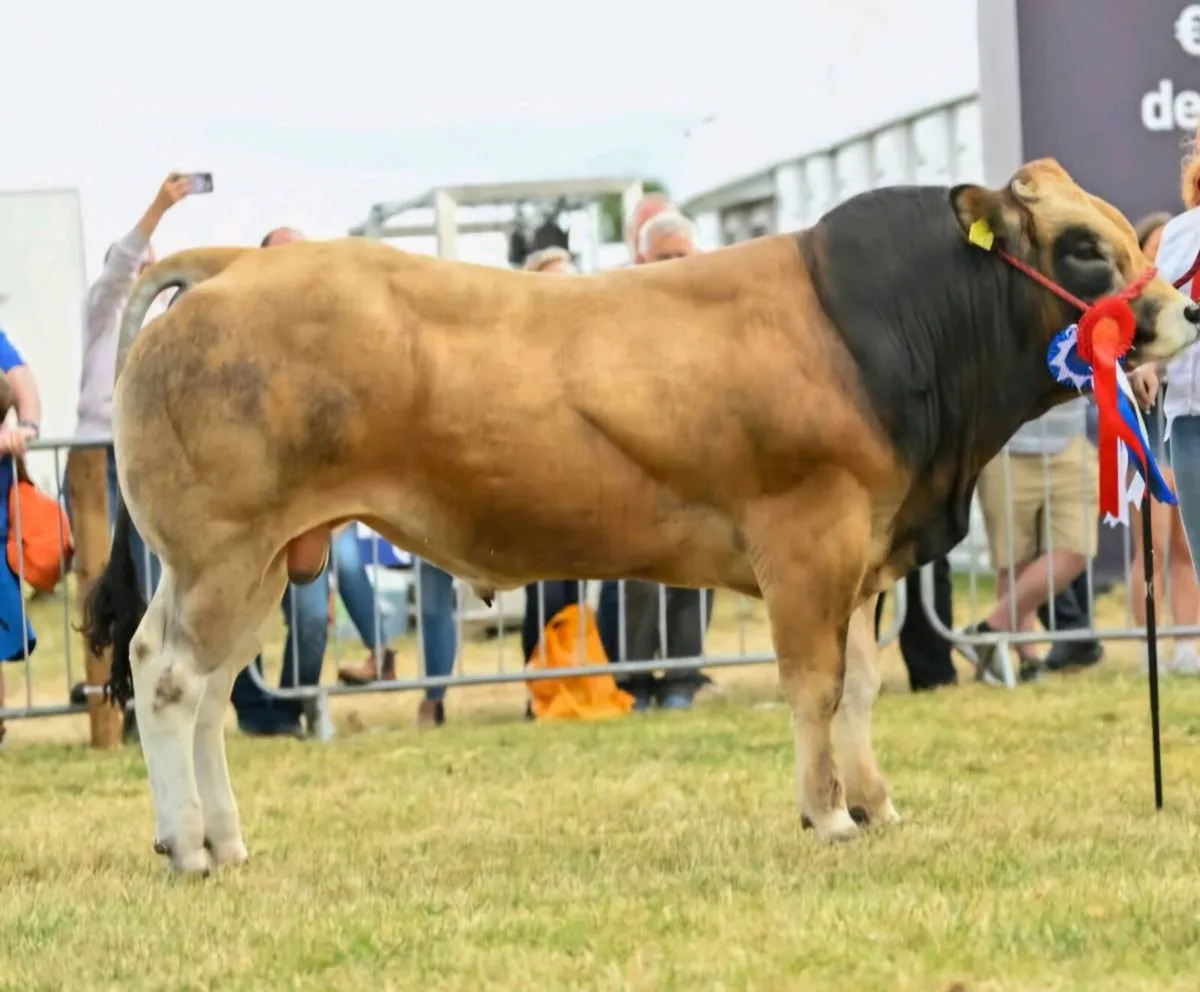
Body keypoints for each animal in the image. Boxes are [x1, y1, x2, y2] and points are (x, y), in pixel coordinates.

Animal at [82, 158, 1200, 876]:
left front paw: (875, 801)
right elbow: (814, 686)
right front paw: (828, 815)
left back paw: (225, 838)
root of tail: (235, 264)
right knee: (169, 677)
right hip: (223, 553)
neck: (884, 330)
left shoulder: (870, 558)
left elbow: (862, 689)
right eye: (1082, 248)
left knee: (209, 689)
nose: (1183, 310)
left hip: (266, 560)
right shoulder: (809, 542)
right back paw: (187, 847)